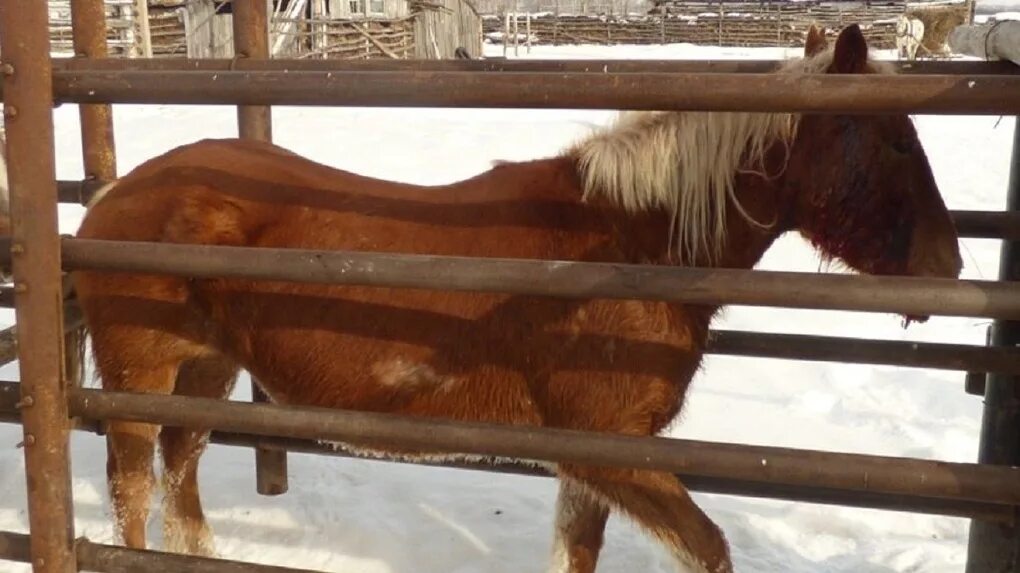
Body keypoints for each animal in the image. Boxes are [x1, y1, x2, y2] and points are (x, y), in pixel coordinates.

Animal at [73, 25, 962, 570]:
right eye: (894, 139)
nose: (949, 266)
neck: (626, 245)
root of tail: (116, 196)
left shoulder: (591, 459)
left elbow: (577, 551)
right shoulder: (614, 450)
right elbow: (707, 546)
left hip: (206, 372)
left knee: (181, 476)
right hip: (140, 377)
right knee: (133, 487)